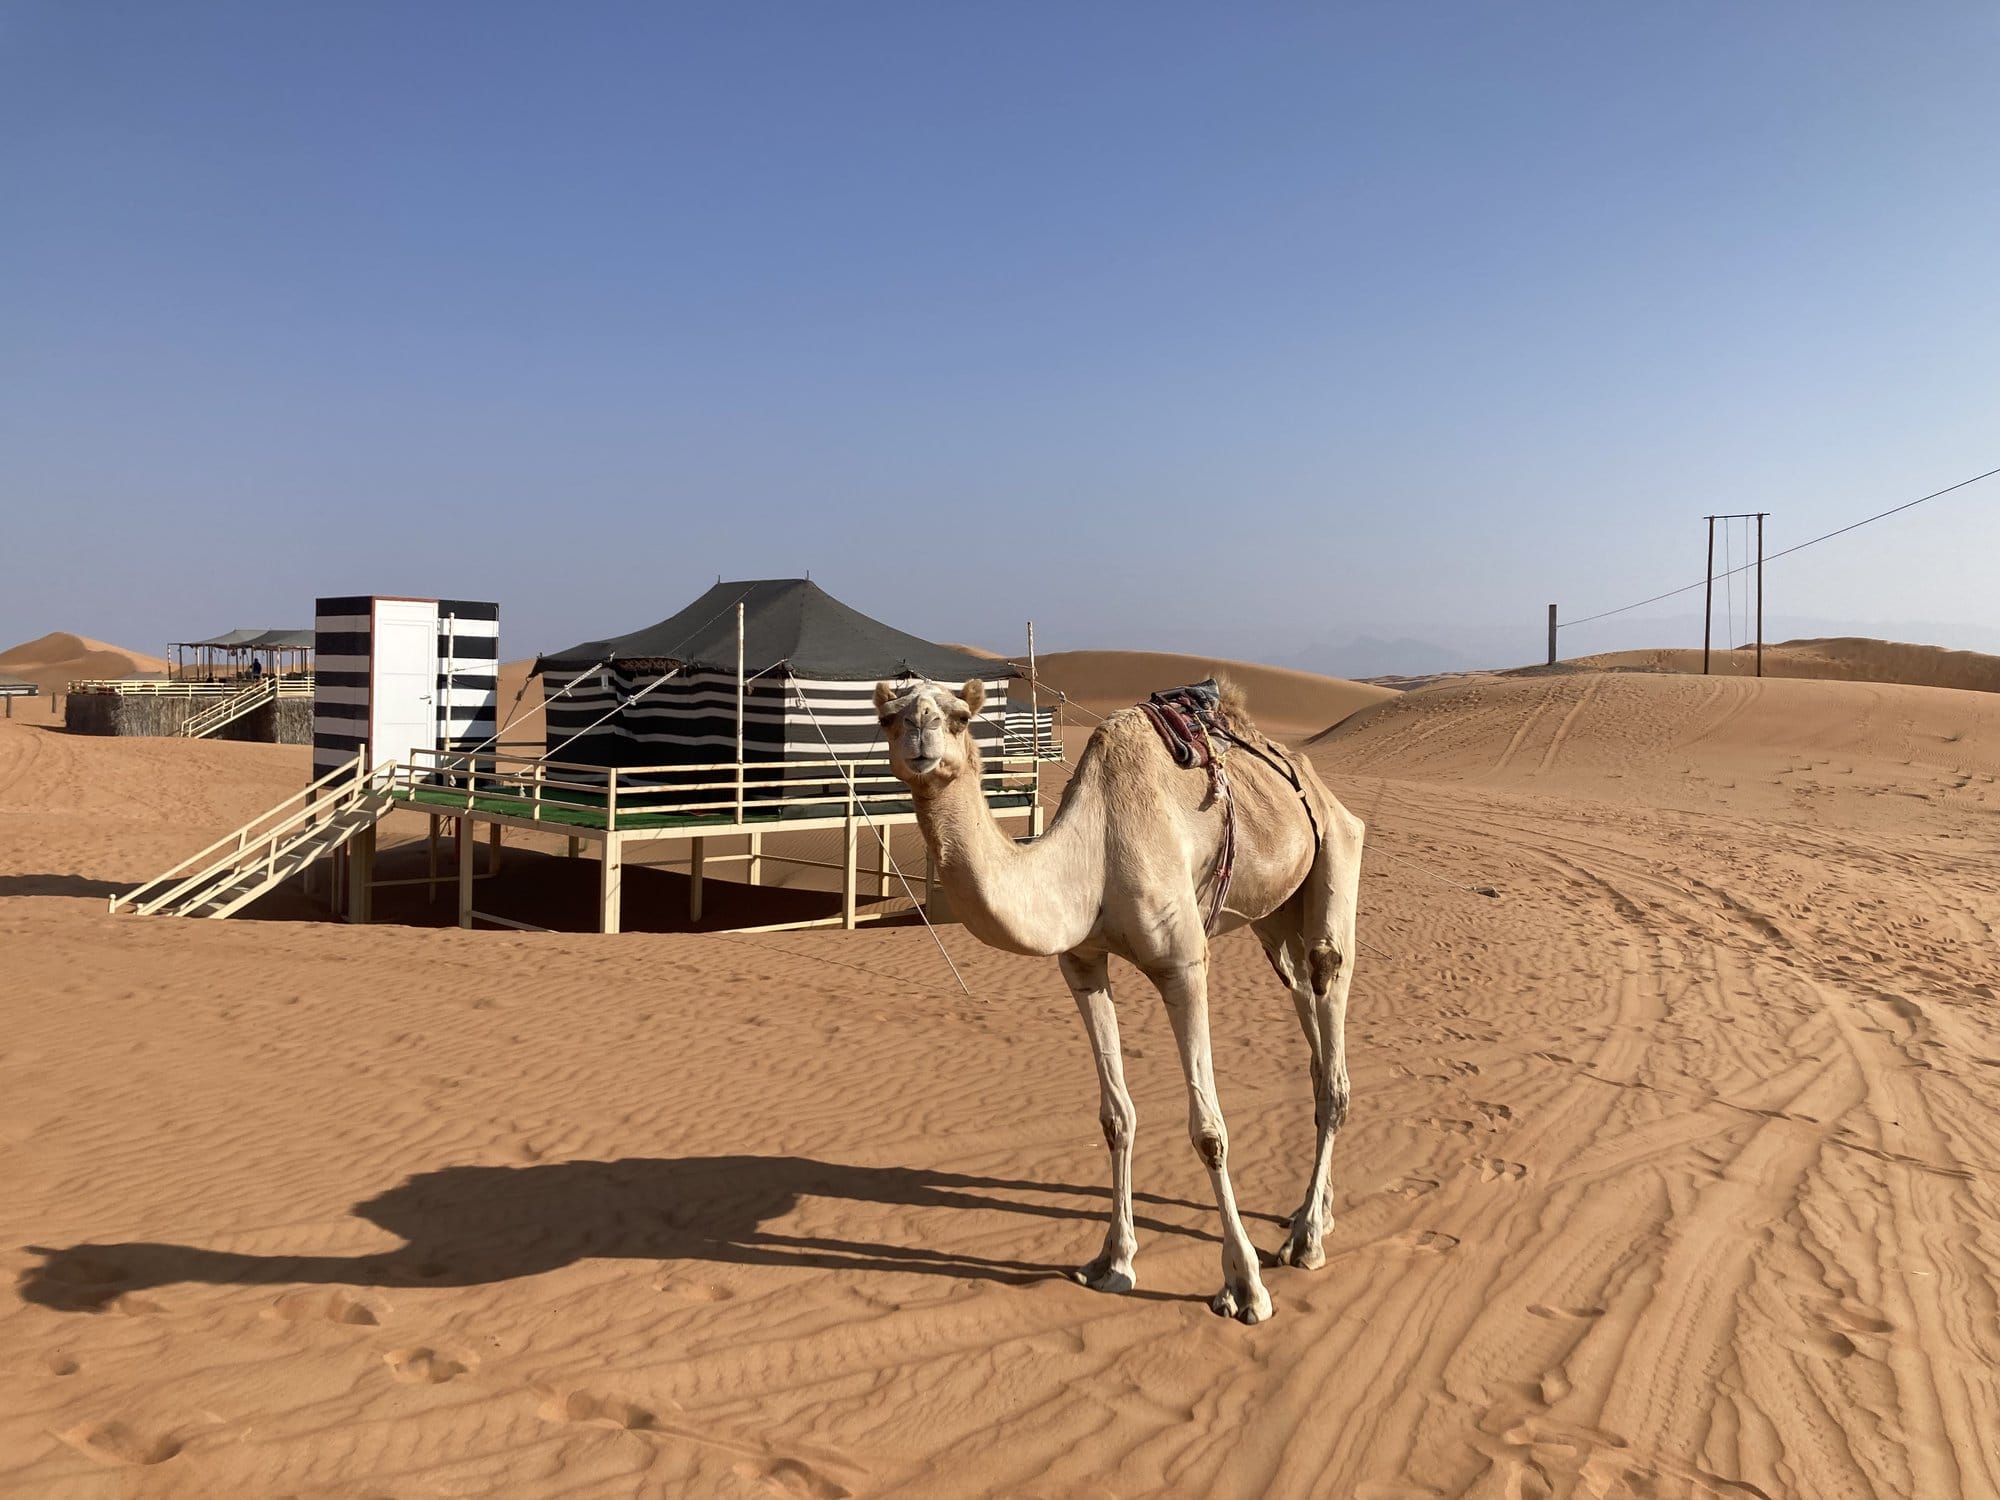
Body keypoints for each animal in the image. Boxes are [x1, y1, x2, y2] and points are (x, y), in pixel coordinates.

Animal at [874, 675, 1364, 1324]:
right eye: (888, 717)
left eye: (958, 716)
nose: (921, 737)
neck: (1094, 852)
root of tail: (1311, 776)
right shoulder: (1082, 964)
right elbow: (1116, 1117)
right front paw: (1113, 1261)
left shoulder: (1183, 964)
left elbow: (1209, 1132)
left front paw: (1244, 1287)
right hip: (1275, 920)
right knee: (1309, 1022)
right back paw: (1317, 1213)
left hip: (1337, 851)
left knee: (1329, 996)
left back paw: (1306, 1239)